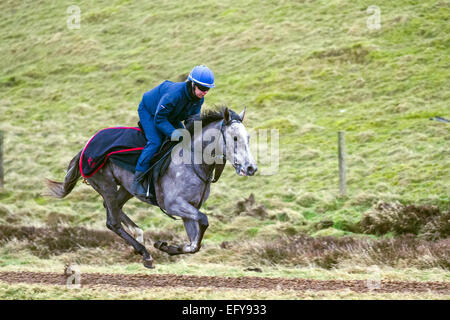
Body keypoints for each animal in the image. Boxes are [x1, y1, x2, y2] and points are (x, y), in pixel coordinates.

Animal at [46, 107, 256, 268]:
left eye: (248, 137)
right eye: (235, 138)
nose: (251, 168)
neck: (193, 160)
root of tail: (85, 148)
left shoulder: (189, 209)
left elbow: (194, 244)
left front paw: (167, 247)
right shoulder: (174, 204)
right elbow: (204, 222)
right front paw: (164, 247)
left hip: (126, 188)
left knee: (114, 208)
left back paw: (138, 235)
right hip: (106, 184)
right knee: (112, 221)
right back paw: (144, 253)